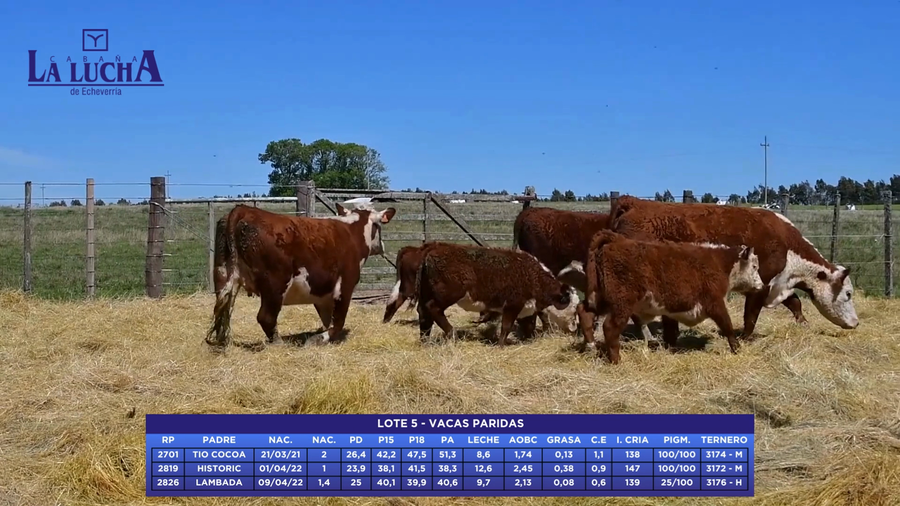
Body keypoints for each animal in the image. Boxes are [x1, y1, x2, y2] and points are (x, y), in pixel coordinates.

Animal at [205, 202, 397, 348]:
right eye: (379, 226)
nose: (382, 246)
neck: (352, 232)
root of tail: (243, 210)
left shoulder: (322, 292)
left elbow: (327, 318)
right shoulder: (345, 285)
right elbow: (338, 321)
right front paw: (319, 339)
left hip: (224, 276)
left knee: (223, 310)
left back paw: (222, 340)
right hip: (275, 284)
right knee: (266, 317)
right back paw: (279, 343)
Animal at [385, 242, 580, 333]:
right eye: (571, 307)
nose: (574, 328)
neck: (533, 274)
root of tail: (428, 251)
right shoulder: (513, 304)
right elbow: (507, 326)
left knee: (423, 313)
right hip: (446, 295)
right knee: (430, 308)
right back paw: (451, 332)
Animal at [577, 230, 765, 364]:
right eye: (755, 266)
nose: (762, 286)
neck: (720, 263)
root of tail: (617, 241)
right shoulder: (714, 303)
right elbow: (727, 326)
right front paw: (736, 348)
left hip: (600, 299)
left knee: (584, 312)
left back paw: (590, 346)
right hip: (621, 304)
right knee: (609, 327)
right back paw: (616, 360)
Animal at [609, 196, 860, 337]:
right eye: (848, 293)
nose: (856, 323)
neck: (787, 246)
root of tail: (633, 202)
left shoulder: (778, 284)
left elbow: (795, 303)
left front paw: (804, 325)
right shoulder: (762, 284)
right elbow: (751, 315)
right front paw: (745, 337)